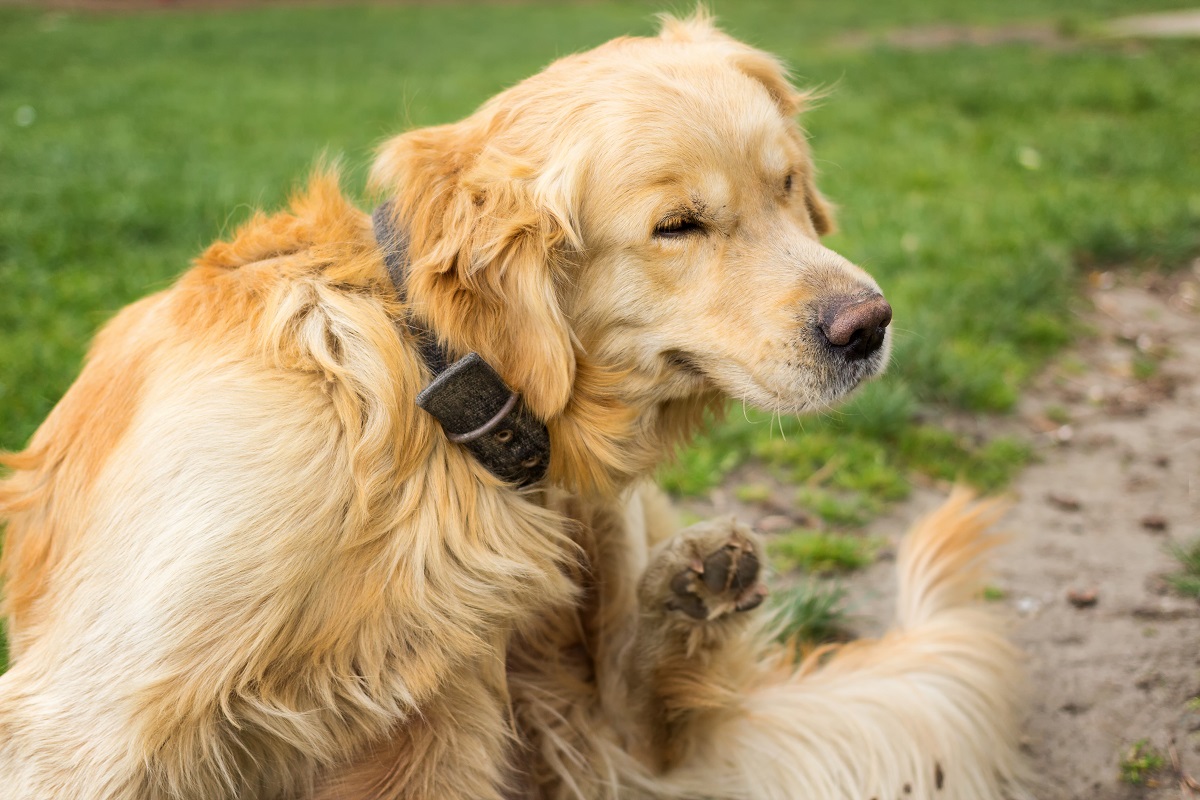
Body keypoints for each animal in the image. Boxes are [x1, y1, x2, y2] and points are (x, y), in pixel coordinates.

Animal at [0, 12, 1022, 800]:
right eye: (678, 227)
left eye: (787, 187)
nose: (869, 326)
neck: (423, 378)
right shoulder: (85, 719)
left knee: (638, 728)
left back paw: (692, 592)